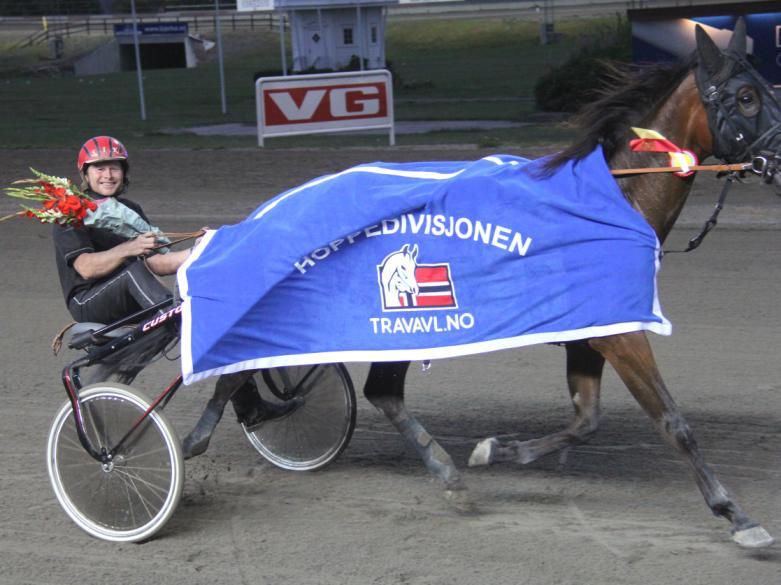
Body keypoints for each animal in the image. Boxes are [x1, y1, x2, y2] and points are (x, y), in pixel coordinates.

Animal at [183, 19, 780, 548]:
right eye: (747, 97)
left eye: (770, 88)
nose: (778, 161)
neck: (613, 200)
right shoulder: (620, 332)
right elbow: (672, 420)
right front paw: (736, 515)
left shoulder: (593, 328)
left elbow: (586, 420)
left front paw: (499, 451)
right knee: (242, 364)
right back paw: (194, 437)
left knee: (380, 392)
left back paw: (448, 475)